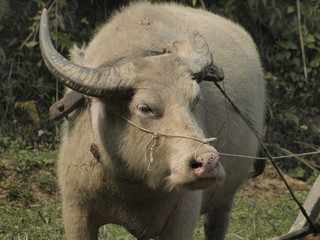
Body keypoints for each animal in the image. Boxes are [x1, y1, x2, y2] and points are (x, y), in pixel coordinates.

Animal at [40, 0, 264, 239]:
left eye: (195, 99)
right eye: (145, 107)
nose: (208, 162)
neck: (132, 184)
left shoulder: (183, 218)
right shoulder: (76, 211)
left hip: (225, 199)